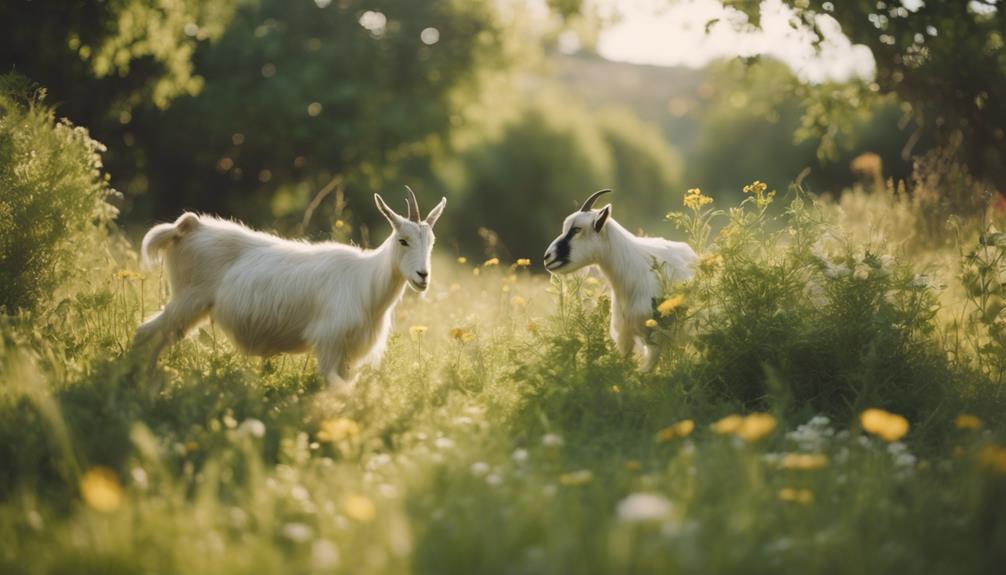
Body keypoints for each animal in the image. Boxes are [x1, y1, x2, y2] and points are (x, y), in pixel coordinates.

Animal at [133, 185, 448, 388]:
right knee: (146, 333)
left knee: (156, 336)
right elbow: (337, 390)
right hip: (187, 300)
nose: (423, 276)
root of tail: (188, 227)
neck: (366, 281)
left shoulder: (348, 353)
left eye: (432, 242)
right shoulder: (329, 343)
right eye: (402, 240)